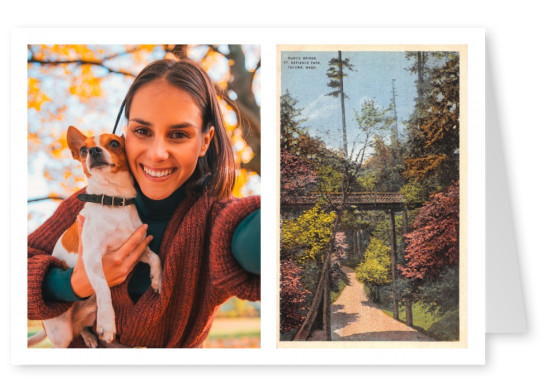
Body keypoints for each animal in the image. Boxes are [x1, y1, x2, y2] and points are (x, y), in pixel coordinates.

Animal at [29, 126, 162, 350]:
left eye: (115, 143)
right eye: (83, 150)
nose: (93, 151)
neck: (113, 200)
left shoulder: (136, 248)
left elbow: (156, 258)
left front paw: (157, 280)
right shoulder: (92, 259)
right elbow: (103, 289)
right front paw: (108, 324)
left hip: (88, 316)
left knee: (81, 327)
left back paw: (90, 336)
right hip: (61, 334)